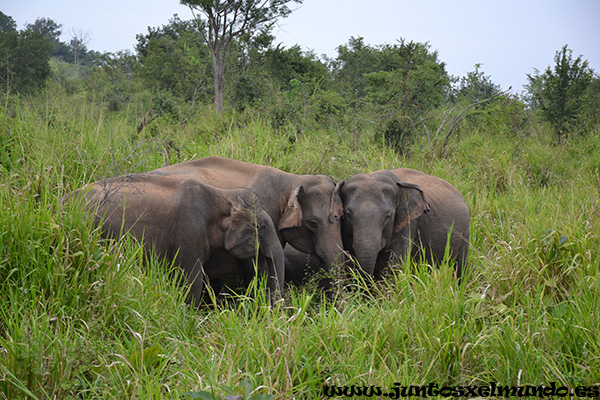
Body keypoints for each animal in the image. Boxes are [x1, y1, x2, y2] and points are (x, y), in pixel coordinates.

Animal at [340, 169, 472, 282]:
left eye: (388, 216)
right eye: (348, 214)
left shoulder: (408, 223)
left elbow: (393, 265)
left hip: (464, 233)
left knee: (460, 268)